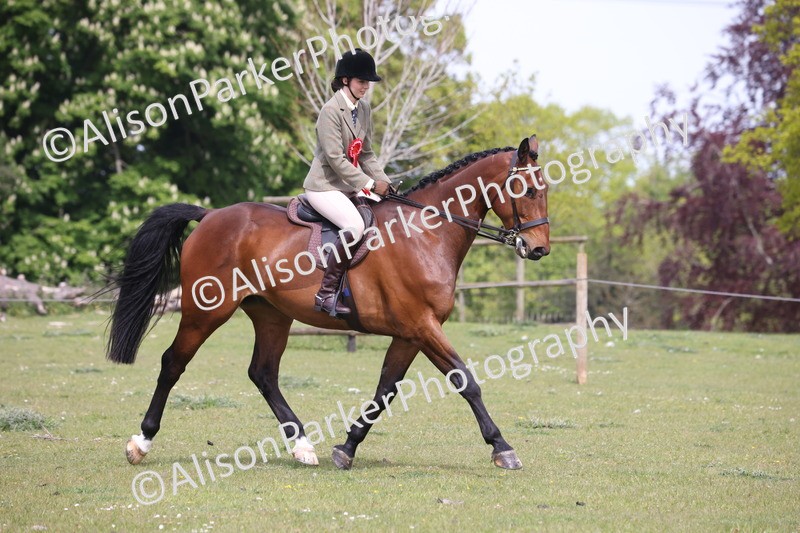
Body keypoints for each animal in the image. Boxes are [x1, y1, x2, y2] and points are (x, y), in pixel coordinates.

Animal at [107, 135, 550, 470]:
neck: (426, 232)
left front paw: (346, 448)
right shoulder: (422, 326)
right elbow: (465, 381)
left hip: (271, 315)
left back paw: (303, 446)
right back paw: (140, 442)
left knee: (263, 373)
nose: (539, 249)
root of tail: (211, 214)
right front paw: (502, 448)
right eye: (527, 189)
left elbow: (385, 390)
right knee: (173, 363)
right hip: (206, 312)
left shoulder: (410, 333)